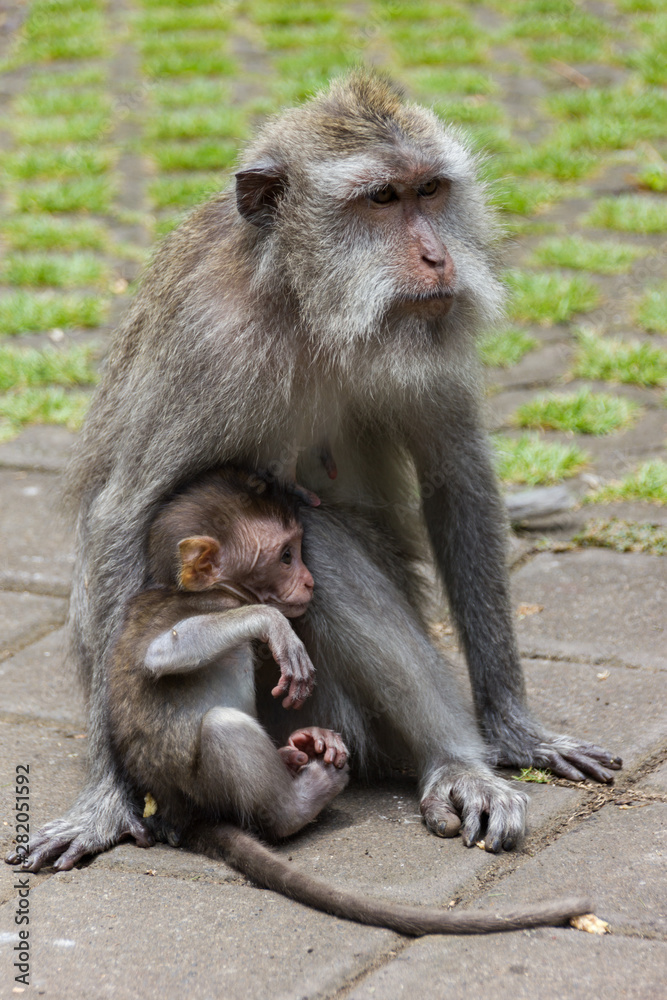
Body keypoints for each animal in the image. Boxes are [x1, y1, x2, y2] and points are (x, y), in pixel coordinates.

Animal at [8, 73, 621, 894]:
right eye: (380, 200)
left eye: (429, 191)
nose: (436, 257)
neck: (301, 303)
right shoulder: (207, 342)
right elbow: (121, 514)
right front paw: (106, 797)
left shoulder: (430, 330)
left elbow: (456, 481)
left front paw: (513, 730)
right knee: (311, 544)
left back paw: (458, 764)